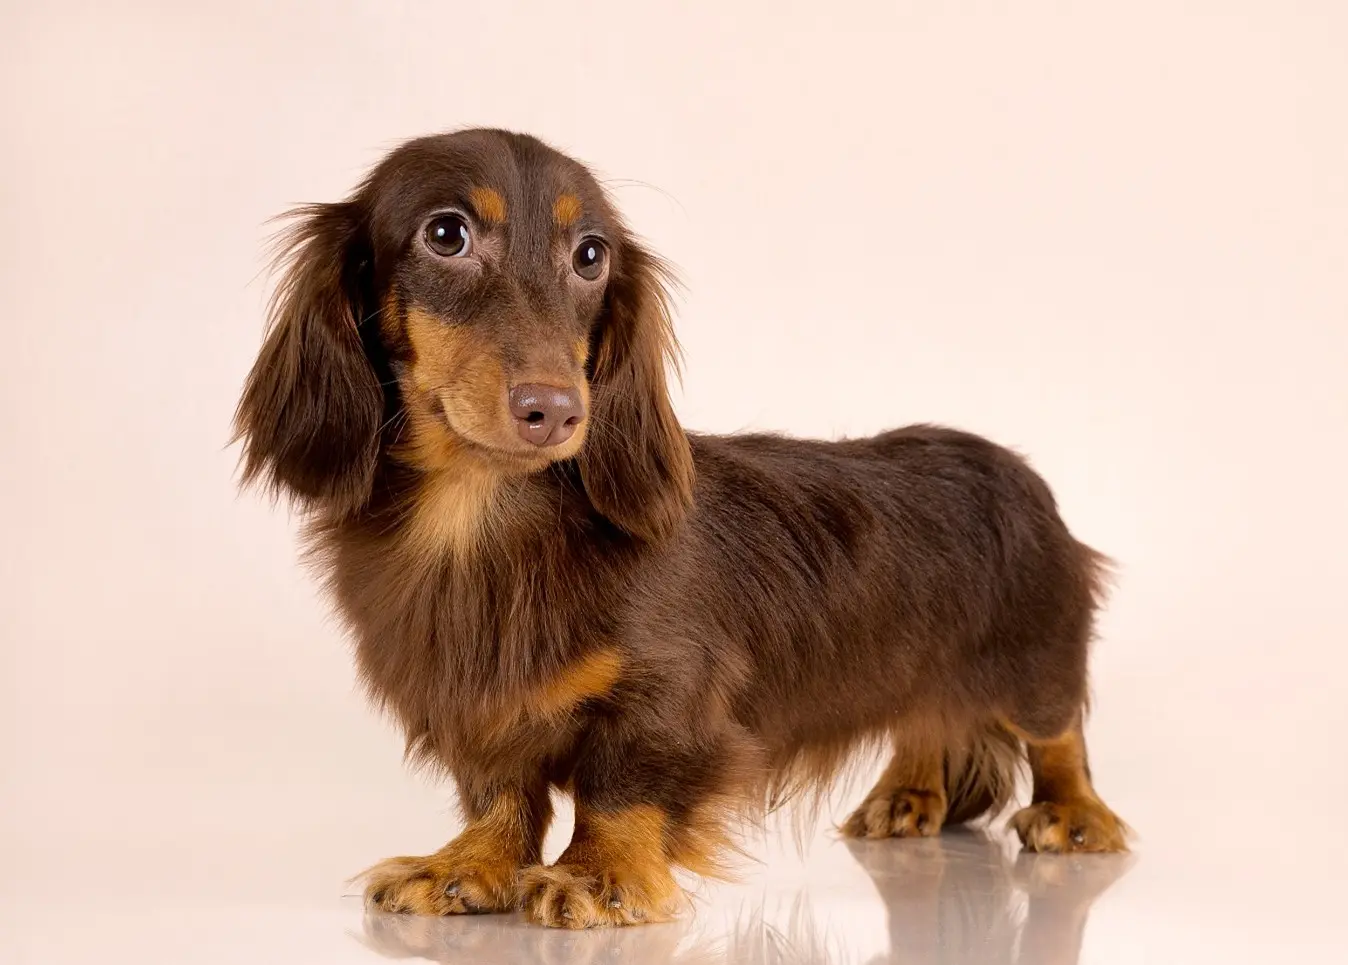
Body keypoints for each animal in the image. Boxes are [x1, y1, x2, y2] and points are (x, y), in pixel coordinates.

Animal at [231, 126, 1126, 927]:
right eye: (445, 234)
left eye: (591, 255)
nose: (556, 410)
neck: (484, 521)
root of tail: (1014, 467)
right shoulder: (481, 708)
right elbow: (500, 792)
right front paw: (467, 865)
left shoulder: (669, 697)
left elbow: (620, 787)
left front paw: (597, 875)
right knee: (926, 718)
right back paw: (907, 795)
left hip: (1031, 656)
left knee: (1059, 732)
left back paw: (1076, 814)